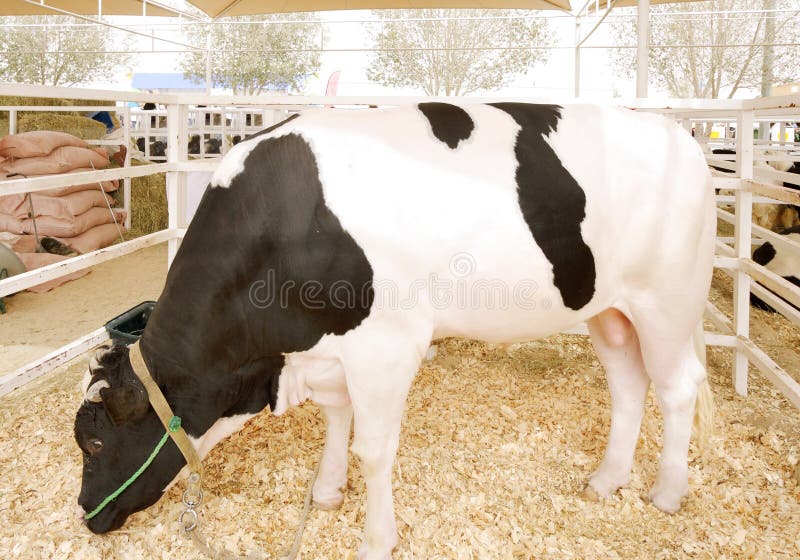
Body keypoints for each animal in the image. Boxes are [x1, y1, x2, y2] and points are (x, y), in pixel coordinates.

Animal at [75, 103, 715, 559]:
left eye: (96, 442)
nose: (87, 516)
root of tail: (680, 136)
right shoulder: (330, 348)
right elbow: (337, 419)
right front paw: (327, 492)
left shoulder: (387, 345)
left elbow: (374, 449)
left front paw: (376, 540)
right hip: (611, 309)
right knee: (628, 384)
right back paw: (607, 479)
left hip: (668, 303)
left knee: (677, 388)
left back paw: (667, 493)